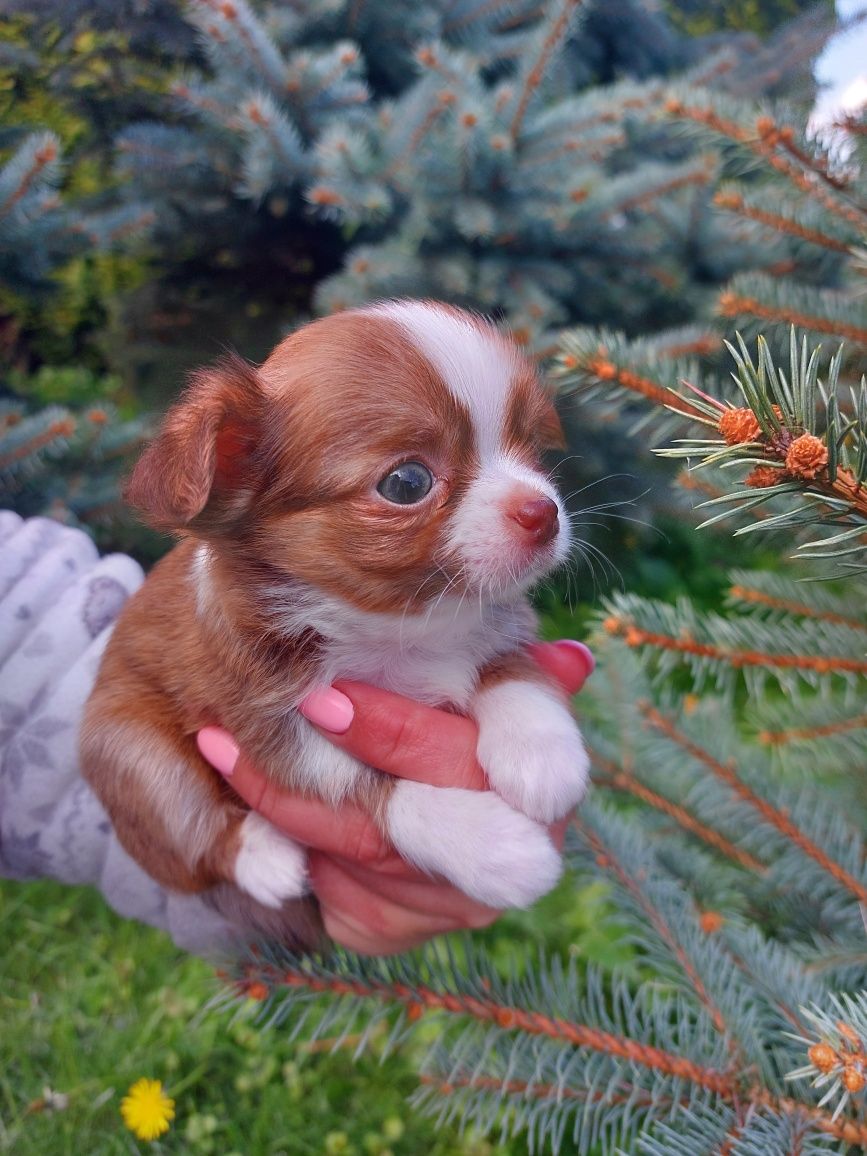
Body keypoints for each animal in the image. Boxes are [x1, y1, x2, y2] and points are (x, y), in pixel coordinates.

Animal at [81, 300, 591, 947]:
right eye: (407, 483)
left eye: (533, 450)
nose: (543, 510)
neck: (401, 629)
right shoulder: (278, 730)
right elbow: (377, 790)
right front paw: (493, 847)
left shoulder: (497, 628)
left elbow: (508, 665)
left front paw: (543, 752)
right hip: (133, 753)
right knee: (193, 844)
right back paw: (266, 857)